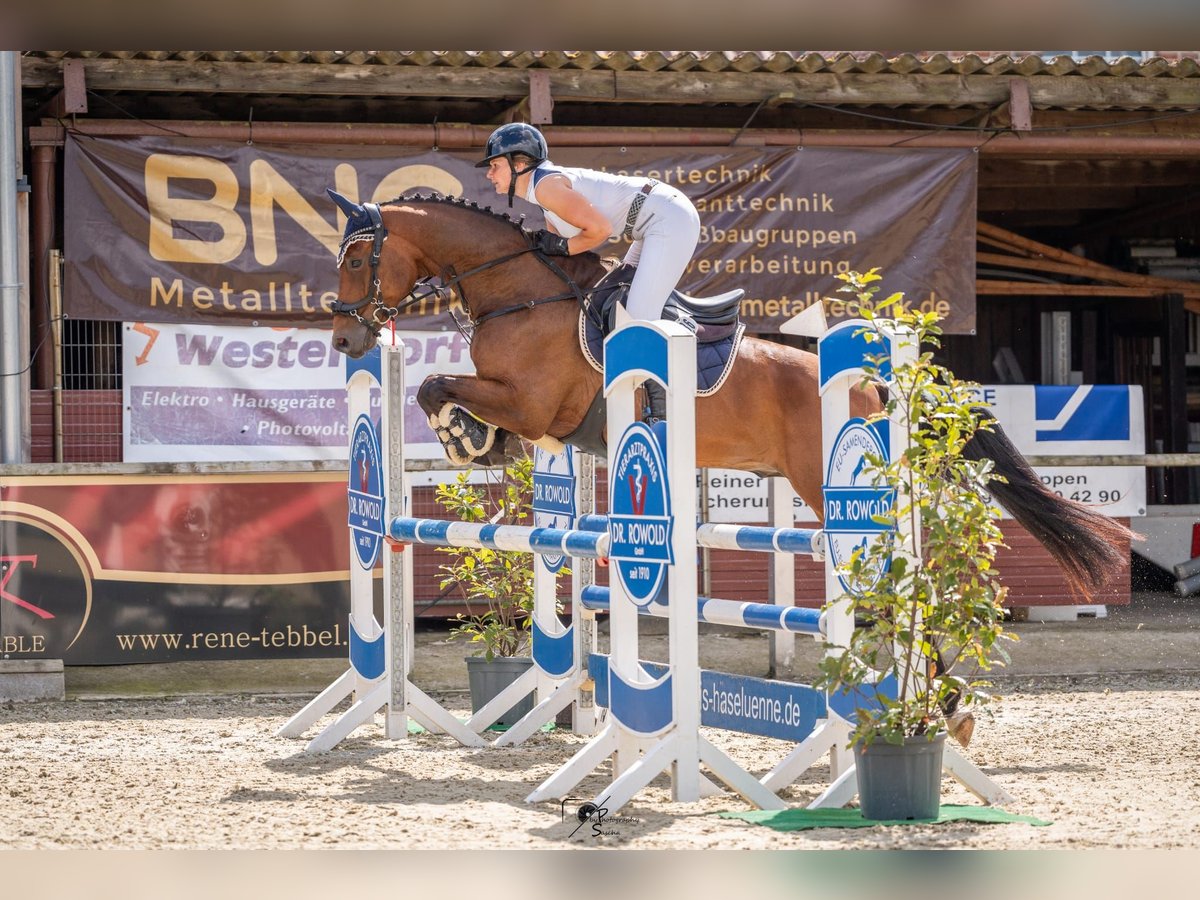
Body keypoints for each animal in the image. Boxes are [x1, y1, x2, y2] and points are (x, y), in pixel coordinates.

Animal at [326, 190, 1132, 602]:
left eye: (359, 259)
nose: (343, 340)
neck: (519, 292)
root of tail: (871, 381)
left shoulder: (531, 403)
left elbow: (437, 384)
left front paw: (464, 436)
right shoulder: (538, 419)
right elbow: (451, 395)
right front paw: (477, 441)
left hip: (825, 481)